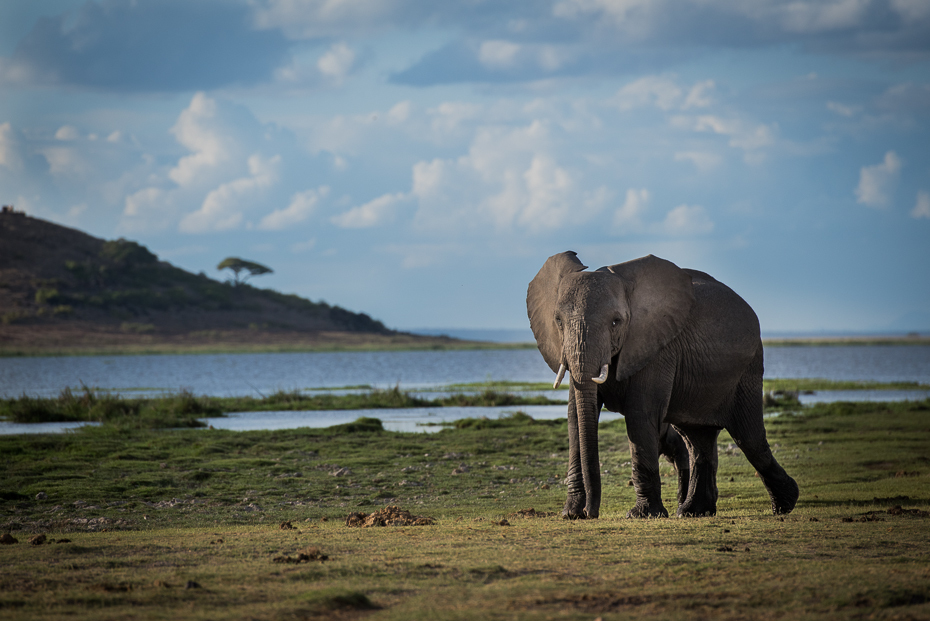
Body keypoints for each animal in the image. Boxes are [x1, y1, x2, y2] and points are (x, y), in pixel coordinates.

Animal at [524, 252, 792, 520]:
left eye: (616, 322)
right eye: (558, 321)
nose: (591, 512)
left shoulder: (658, 347)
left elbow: (640, 414)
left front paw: (642, 515)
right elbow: (575, 418)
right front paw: (570, 514)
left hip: (747, 368)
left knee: (748, 437)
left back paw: (785, 504)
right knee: (697, 440)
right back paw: (693, 512)